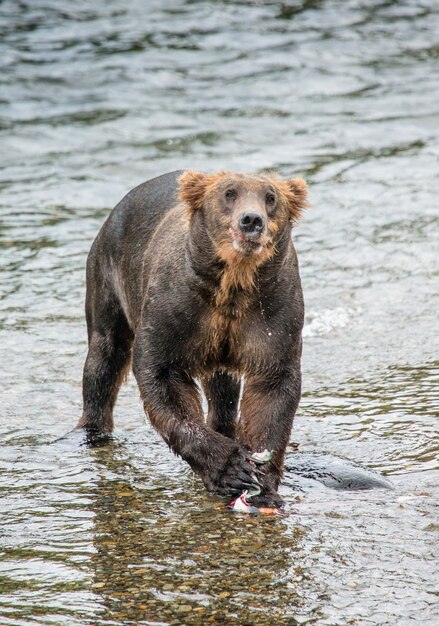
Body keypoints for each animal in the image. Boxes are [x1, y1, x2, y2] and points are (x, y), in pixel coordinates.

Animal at [77, 169, 308, 508]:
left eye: (271, 198)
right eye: (229, 193)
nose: (251, 220)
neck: (233, 286)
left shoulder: (272, 314)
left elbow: (272, 389)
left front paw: (262, 481)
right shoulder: (175, 311)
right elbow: (162, 378)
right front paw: (230, 468)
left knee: (223, 388)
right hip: (108, 278)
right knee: (104, 357)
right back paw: (91, 433)